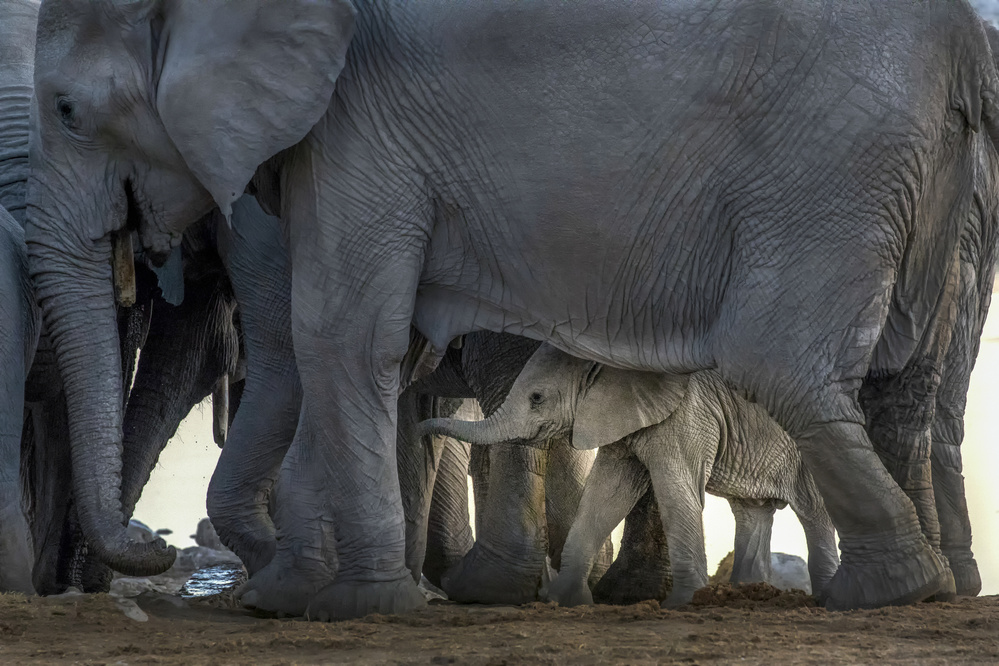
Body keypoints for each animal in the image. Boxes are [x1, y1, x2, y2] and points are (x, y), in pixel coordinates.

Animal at [422, 344, 844, 604]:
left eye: (536, 398)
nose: (421, 426)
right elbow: (607, 494)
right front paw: (565, 601)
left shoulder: (688, 413)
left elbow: (674, 491)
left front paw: (682, 604)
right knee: (752, 511)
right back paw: (746, 594)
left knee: (815, 511)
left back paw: (829, 597)